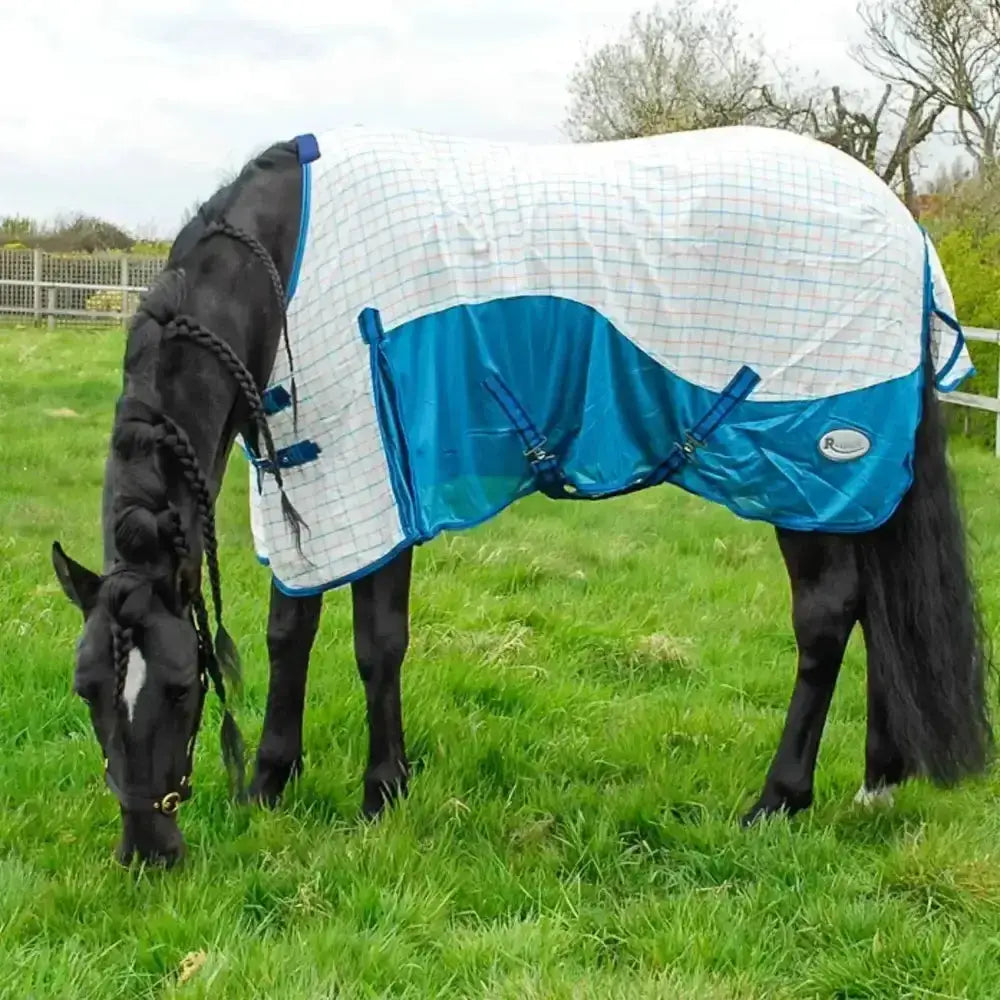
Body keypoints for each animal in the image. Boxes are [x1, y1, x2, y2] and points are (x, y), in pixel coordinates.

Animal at [51, 125, 993, 866]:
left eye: (180, 689)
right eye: (89, 690)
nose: (147, 853)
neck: (283, 268)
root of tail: (903, 226)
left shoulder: (382, 478)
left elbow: (376, 644)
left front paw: (381, 793)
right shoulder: (312, 486)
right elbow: (292, 632)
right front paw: (270, 784)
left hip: (807, 469)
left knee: (829, 618)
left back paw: (779, 799)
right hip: (847, 489)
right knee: (877, 609)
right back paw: (877, 783)